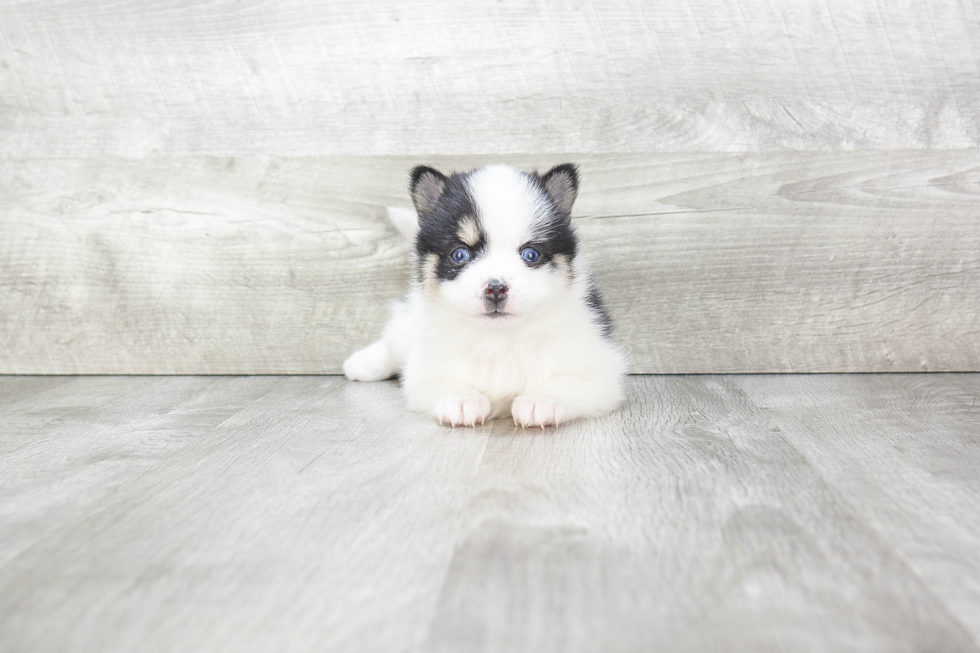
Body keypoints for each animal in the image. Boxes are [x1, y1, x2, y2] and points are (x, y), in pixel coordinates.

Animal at [340, 163, 624, 428]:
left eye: (530, 254)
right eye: (460, 254)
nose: (496, 288)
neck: (499, 339)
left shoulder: (600, 370)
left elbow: (567, 382)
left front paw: (541, 401)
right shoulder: (425, 369)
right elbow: (440, 381)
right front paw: (461, 400)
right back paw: (363, 363)